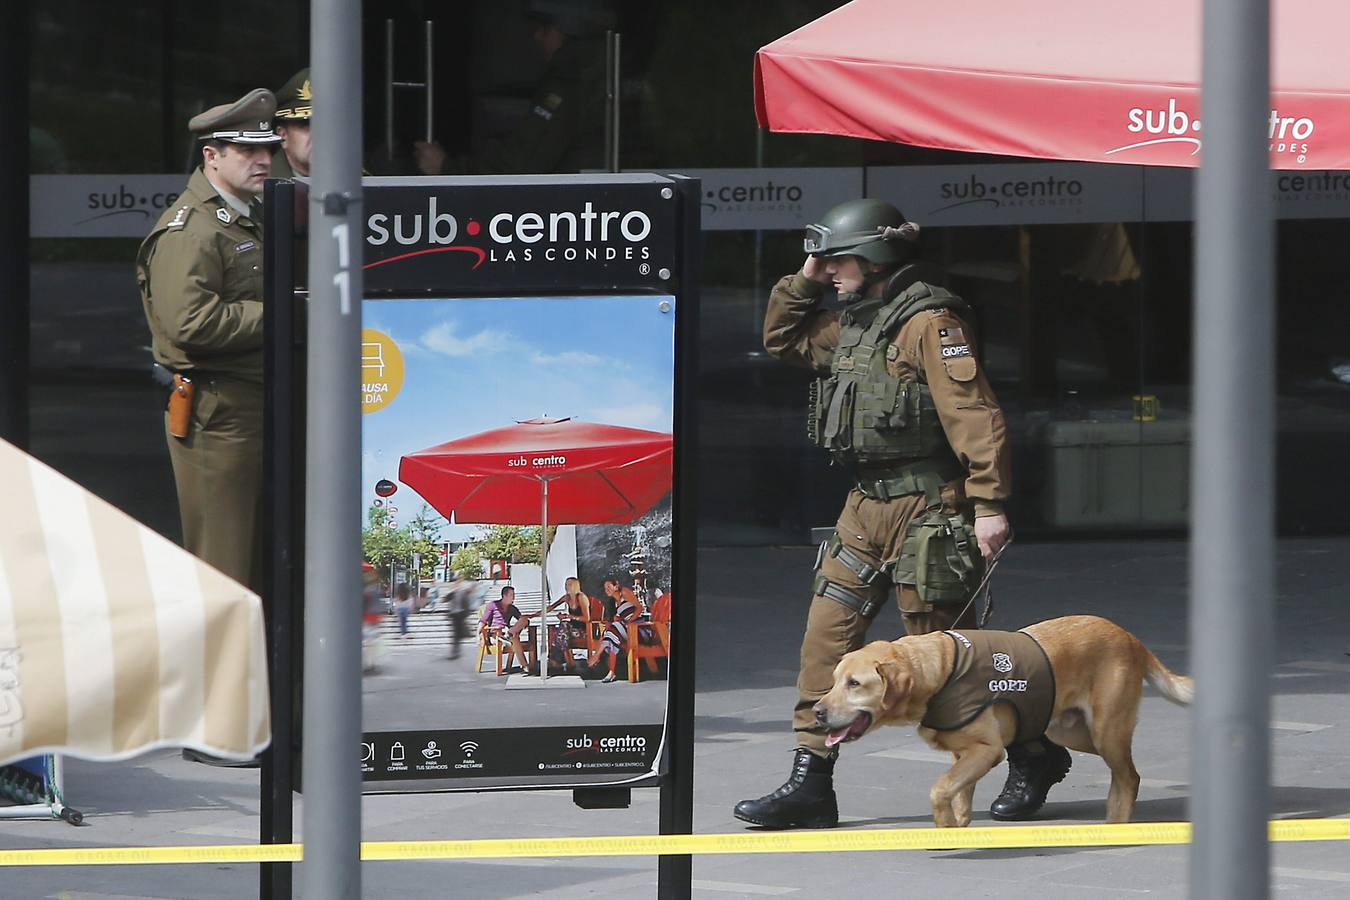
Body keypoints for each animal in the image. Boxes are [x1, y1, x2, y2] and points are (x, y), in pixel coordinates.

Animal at [810, 615, 1193, 825]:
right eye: (835, 680)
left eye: (854, 684)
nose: (817, 712)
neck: (939, 672)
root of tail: (1130, 637)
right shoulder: (963, 754)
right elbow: (959, 794)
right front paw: (958, 825)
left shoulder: (987, 749)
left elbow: (940, 788)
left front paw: (944, 824)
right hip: (1072, 730)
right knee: (1121, 774)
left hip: (1105, 730)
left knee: (1130, 776)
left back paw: (1117, 823)